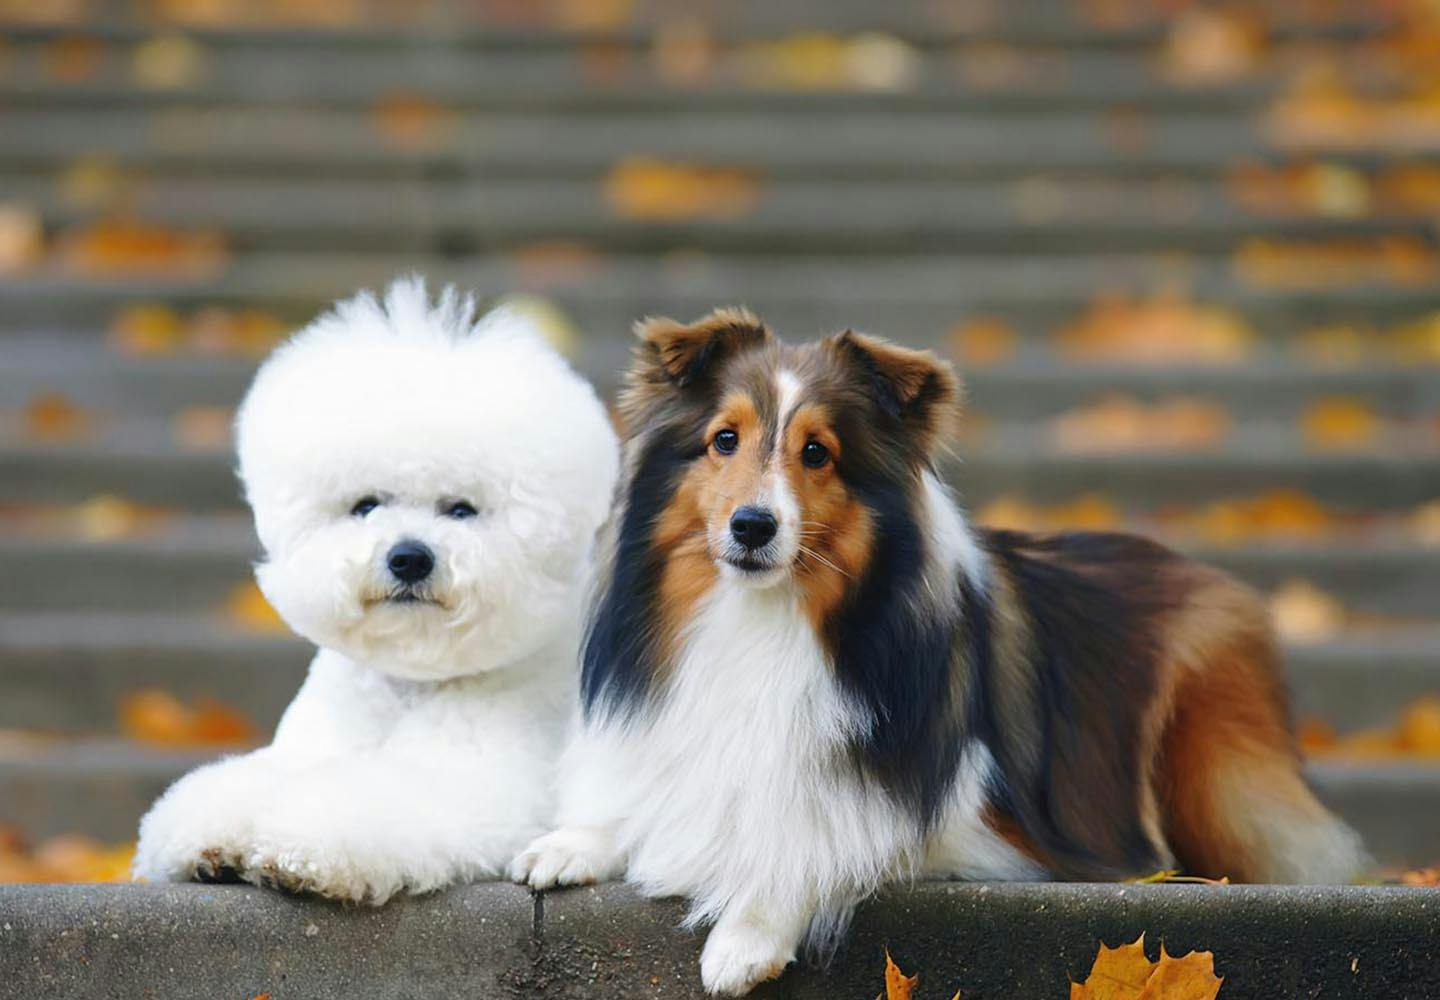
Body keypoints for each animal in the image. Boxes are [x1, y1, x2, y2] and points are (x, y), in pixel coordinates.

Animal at [136, 278, 624, 904]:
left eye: (461, 510)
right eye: (366, 505)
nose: (409, 558)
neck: (408, 687)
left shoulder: (478, 784)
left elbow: (372, 804)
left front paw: (297, 847)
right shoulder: (312, 746)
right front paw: (208, 836)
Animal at [512, 311, 1365, 997]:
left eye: (817, 453)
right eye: (725, 440)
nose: (753, 526)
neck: (766, 618)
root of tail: (1205, 570)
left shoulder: (976, 824)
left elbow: (824, 833)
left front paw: (747, 932)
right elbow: (662, 791)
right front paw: (575, 839)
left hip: (1211, 761)